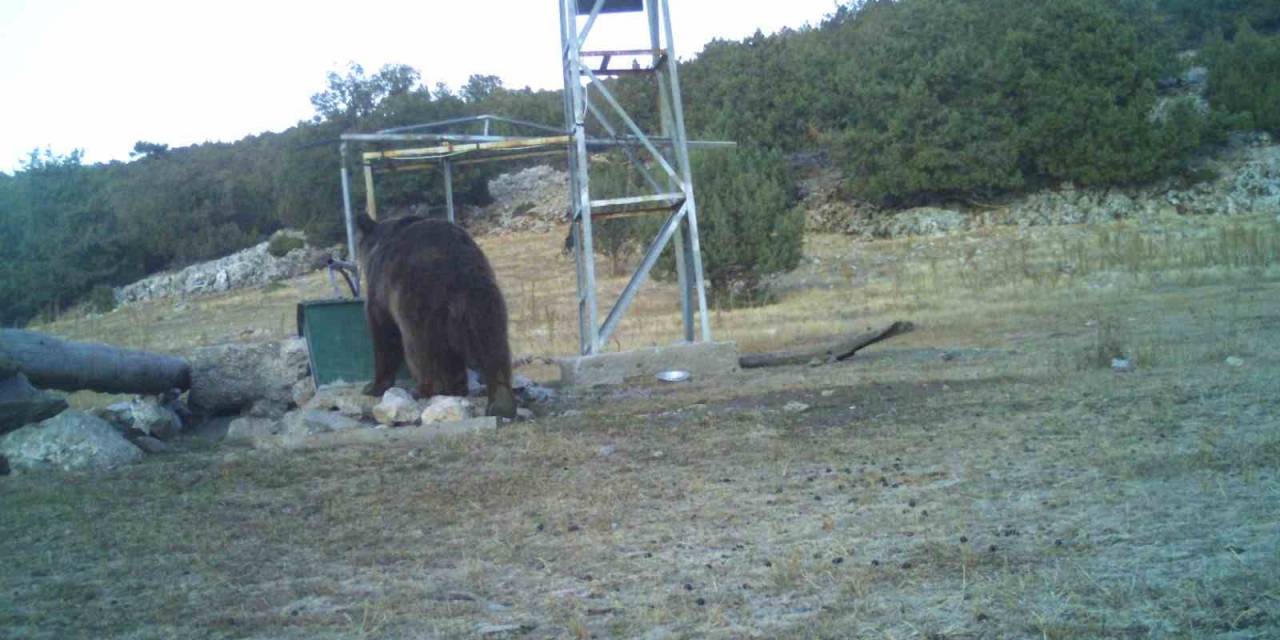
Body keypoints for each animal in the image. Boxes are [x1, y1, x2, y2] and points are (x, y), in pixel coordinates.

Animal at [353, 215, 517, 419]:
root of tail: (458, 267)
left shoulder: (380, 291)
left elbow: (384, 333)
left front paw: (373, 386)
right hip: (483, 301)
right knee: (493, 346)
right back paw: (500, 403)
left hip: (417, 302)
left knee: (420, 349)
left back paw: (423, 389)